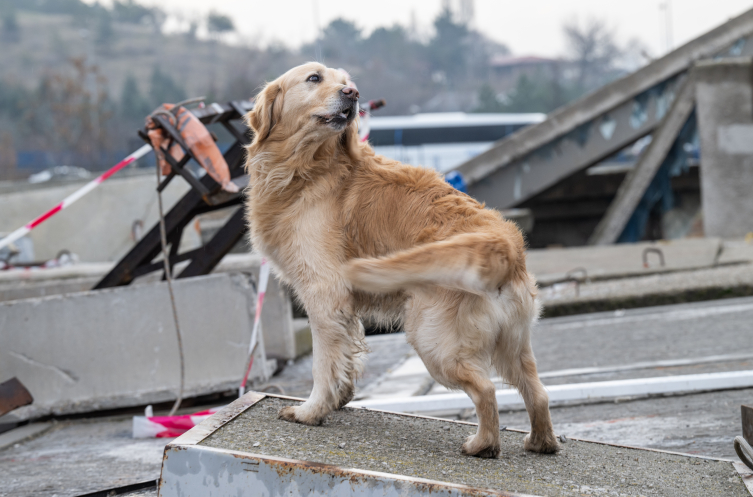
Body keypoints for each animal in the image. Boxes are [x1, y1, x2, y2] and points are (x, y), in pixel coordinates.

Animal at [242, 62, 560, 458]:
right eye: (314, 78)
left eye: (344, 82)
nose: (352, 94)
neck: (307, 166)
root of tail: (504, 241)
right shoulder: (344, 307)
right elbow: (348, 358)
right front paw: (339, 399)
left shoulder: (324, 294)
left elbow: (324, 364)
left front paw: (311, 411)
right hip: (513, 344)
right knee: (539, 392)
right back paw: (540, 442)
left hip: (432, 340)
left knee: (485, 389)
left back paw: (482, 445)